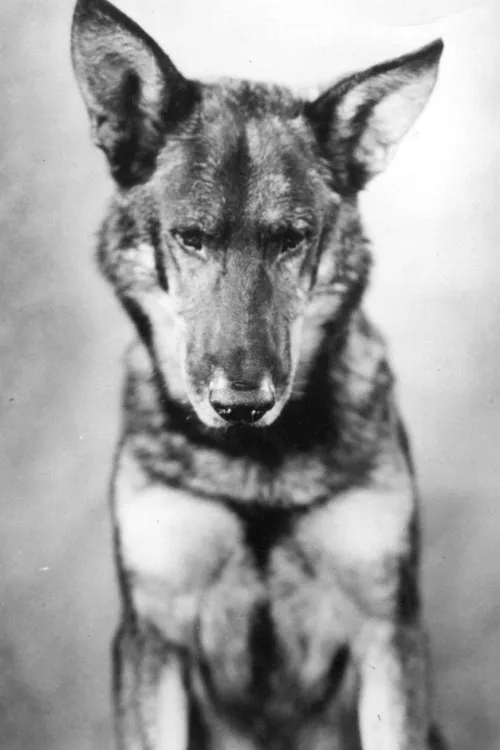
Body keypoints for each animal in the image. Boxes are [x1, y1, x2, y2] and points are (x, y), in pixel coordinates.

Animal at [71, 1, 446, 748]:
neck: (256, 462)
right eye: (190, 238)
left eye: (291, 239)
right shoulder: (151, 636)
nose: (241, 404)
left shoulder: (389, 632)